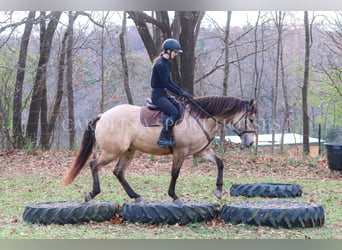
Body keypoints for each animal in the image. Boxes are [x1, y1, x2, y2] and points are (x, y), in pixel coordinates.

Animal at [63, 94, 256, 204]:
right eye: (252, 119)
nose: (250, 143)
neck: (200, 116)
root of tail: (103, 115)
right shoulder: (180, 151)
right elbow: (175, 174)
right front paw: (174, 196)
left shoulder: (201, 151)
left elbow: (220, 163)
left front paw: (218, 191)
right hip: (113, 151)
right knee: (94, 165)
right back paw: (92, 193)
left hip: (128, 151)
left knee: (118, 172)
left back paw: (136, 196)